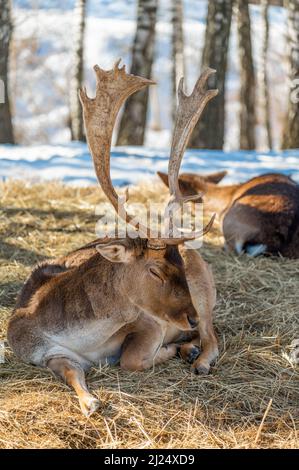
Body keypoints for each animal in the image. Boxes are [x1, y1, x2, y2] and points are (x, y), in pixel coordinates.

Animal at [8, 61, 220, 414]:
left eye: (178, 264)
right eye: (155, 271)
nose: (188, 317)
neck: (83, 339)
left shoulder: (149, 322)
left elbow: (131, 358)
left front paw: (169, 351)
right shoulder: (41, 350)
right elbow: (71, 371)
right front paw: (90, 402)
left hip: (205, 293)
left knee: (213, 336)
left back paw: (197, 357)